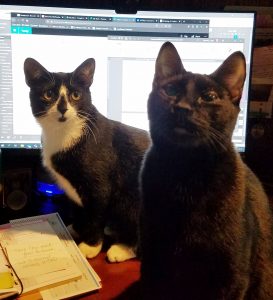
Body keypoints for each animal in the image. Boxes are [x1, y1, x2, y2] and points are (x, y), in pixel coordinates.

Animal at [23, 56, 150, 262]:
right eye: (48, 94)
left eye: (76, 95)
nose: (63, 108)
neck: (65, 134)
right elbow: (80, 210)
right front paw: (75, 228)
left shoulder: (99, 187)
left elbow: (95, 215)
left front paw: (91, 245)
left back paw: (121, 249)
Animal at [137, 42, 272, 300]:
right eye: (170, 90)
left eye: (209, 97)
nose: (181, 108)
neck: (186, 173)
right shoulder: (152, 263)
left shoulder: (233, 277)